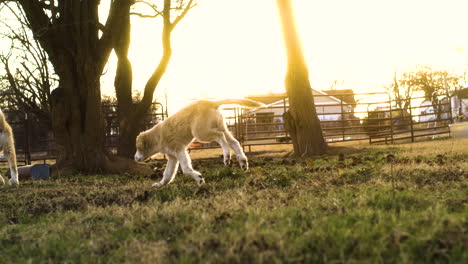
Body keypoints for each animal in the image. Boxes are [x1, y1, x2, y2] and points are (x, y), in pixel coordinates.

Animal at [134, 99, 264, 188]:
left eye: (138, 148)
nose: (135, 158)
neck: (157, 137)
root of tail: (210, 102)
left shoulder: (179, 150)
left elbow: (186, 169)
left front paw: (199, 179)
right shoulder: (172, 157)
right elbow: (167, 174)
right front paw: (159, 184)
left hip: (201, 132)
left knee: (220, 136)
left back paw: (227, 156)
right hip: (220, 126)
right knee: (234, 142)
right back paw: (242, 162)